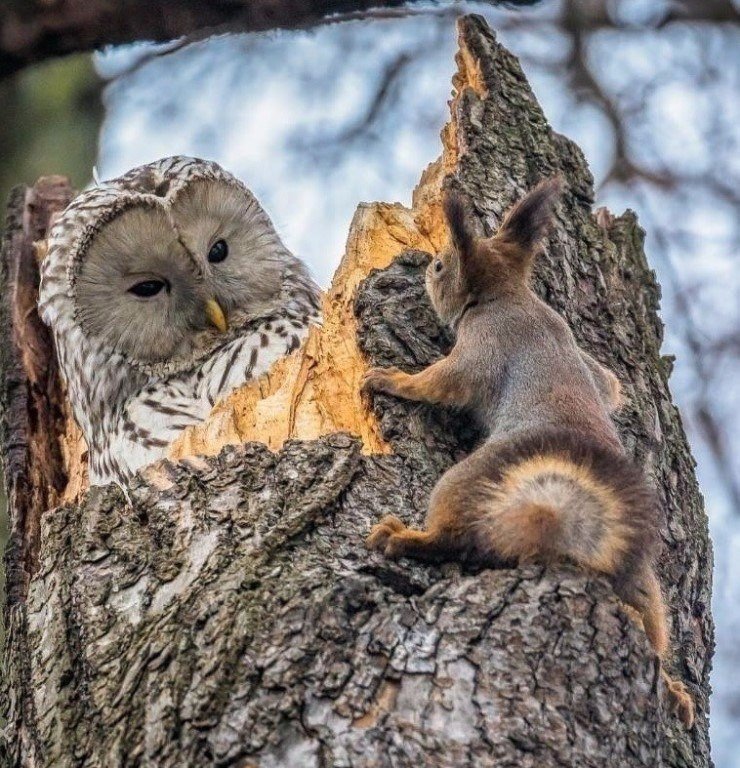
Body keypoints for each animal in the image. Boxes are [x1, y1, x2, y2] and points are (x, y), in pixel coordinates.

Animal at [362, 178, 695, 728]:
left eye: (441, 267)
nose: (426, 265)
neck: (510, 296)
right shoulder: (586, 359)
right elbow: (612, 386)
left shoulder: (482, 347)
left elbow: (440, 383)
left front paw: (388, 379)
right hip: (640, 577)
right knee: (649, 624)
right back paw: (672, 689)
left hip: (469, 480)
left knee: (455, 540)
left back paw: (405, 537)